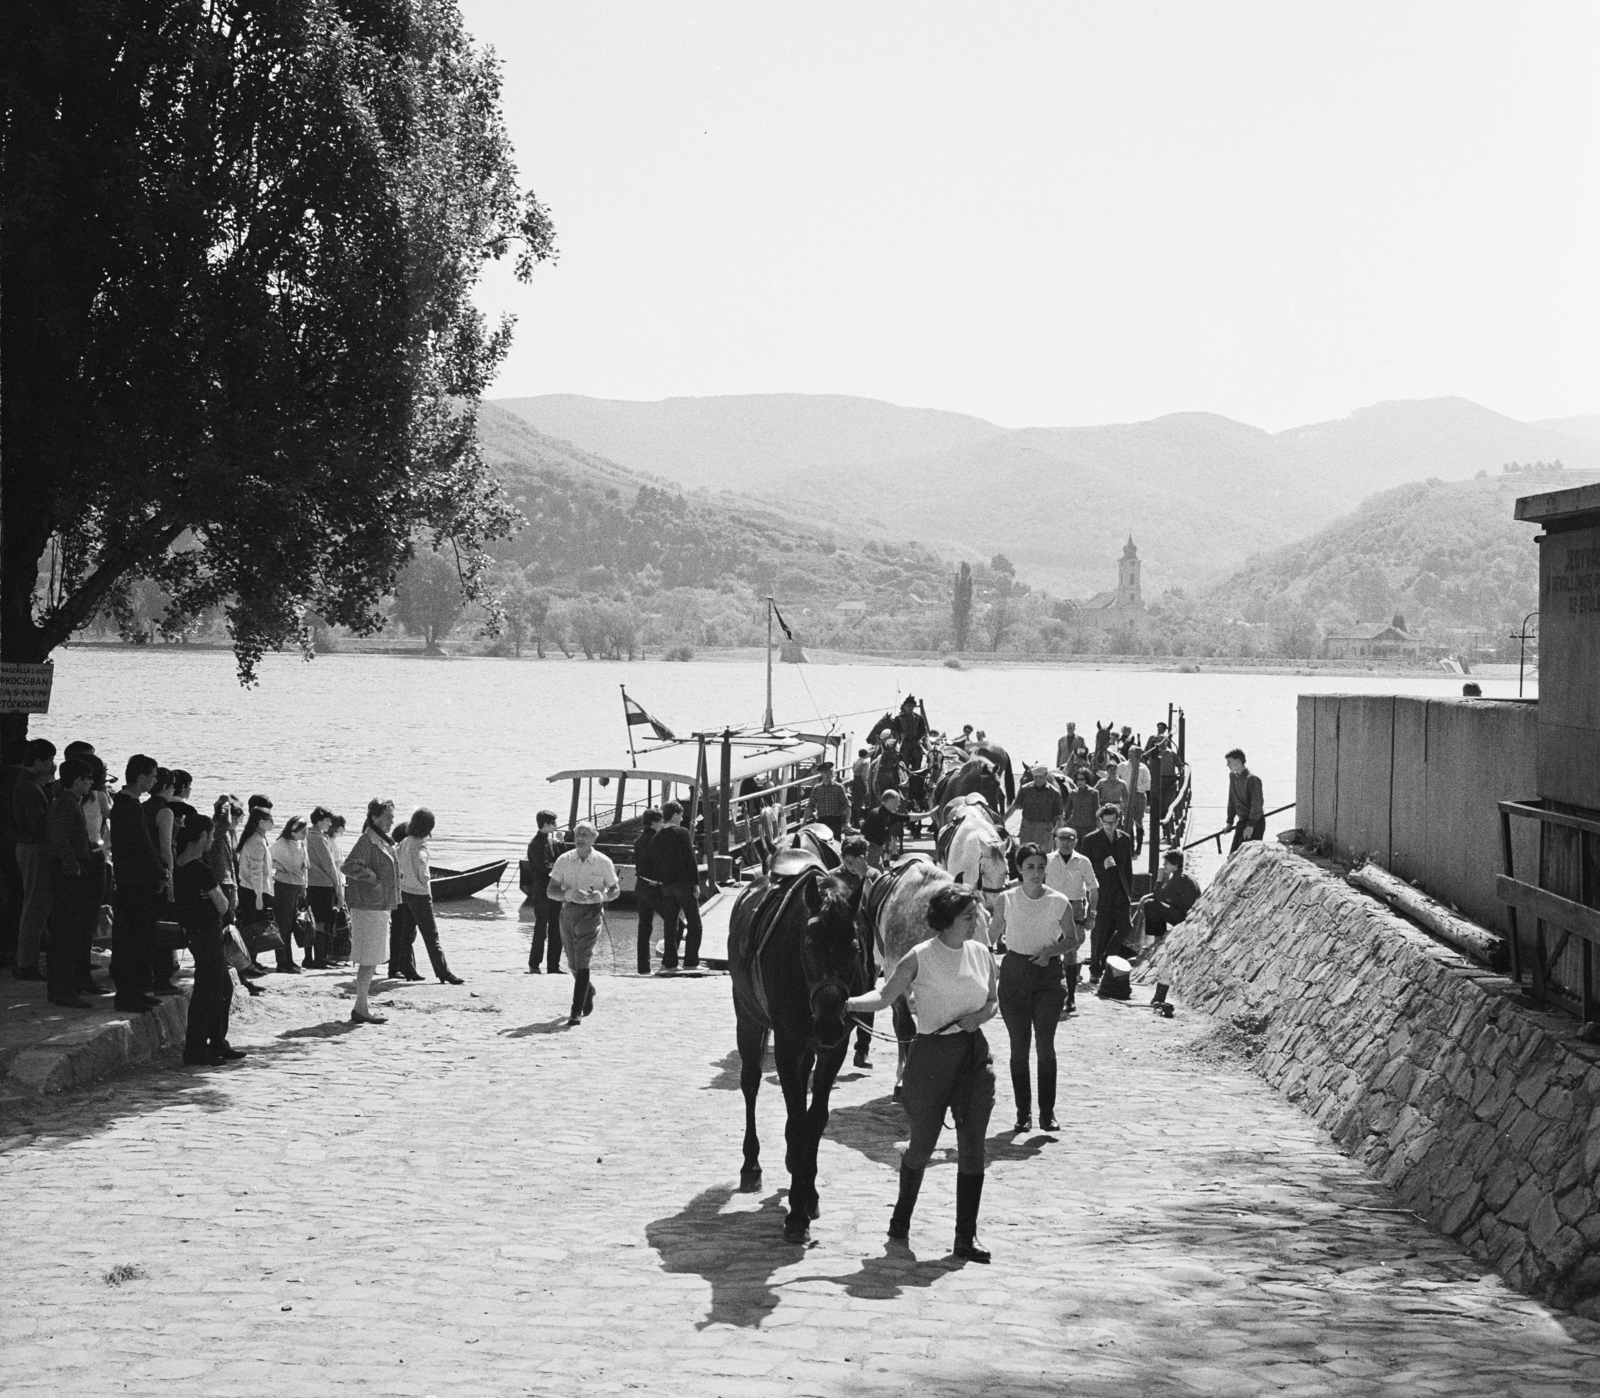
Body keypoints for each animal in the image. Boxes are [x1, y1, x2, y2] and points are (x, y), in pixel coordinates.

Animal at [732, 850, 870, 1241]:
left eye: (855, 947)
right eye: (809, 946)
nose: (829, 1020)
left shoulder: (834, 1047)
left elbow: (814, 1119)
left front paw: (808, 1194)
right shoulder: (787, 1044)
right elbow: (796, 1121)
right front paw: (796, 1213)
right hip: (747, 1018)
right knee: (750, 1084)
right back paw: (751, 1166)